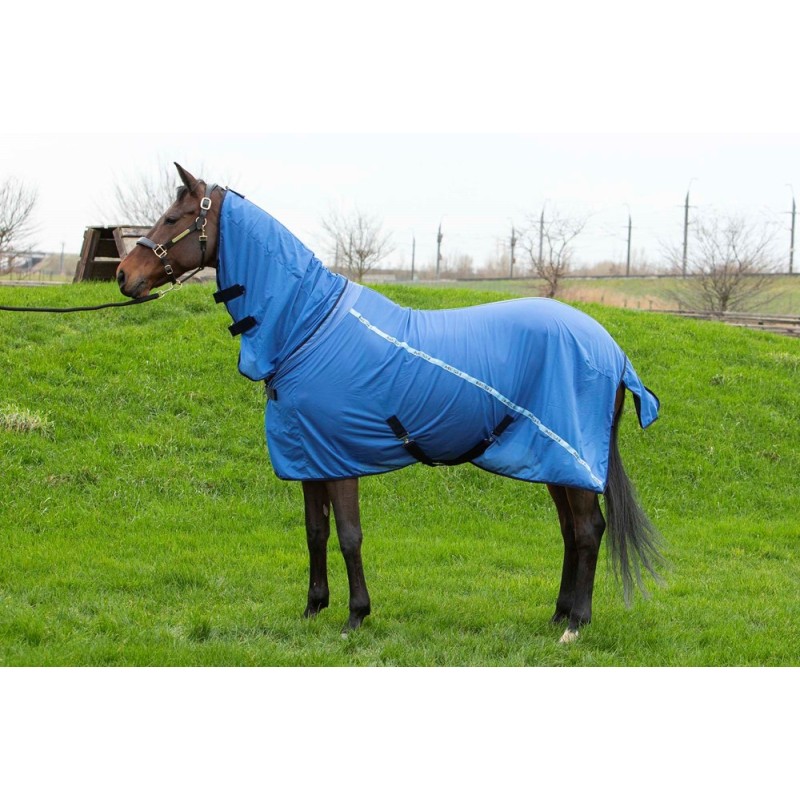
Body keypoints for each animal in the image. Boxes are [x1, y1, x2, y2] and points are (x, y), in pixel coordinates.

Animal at [116, 163, 664, 644]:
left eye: (174, 218)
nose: (123, 275)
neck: (309, 325)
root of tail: (613, 352)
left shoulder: (338, 459)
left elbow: (348, 535)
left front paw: (355, 617)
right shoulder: (309, 457)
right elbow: (315, 532)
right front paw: (313, 608)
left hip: (571, 456)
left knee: (589, 530)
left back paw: (576, 625)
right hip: (553, 462)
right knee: (571, 531)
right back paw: (558, 615)